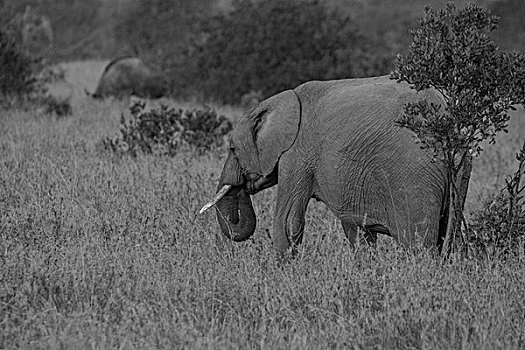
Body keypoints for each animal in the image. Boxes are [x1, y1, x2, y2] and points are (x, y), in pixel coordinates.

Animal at [202, 76, 470, 258]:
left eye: (232, 149)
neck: (282, 100)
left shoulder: (296, 155)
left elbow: (287, 221)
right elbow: (358, 233)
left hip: (416, 174)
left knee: (419, 243)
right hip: (460, 171)